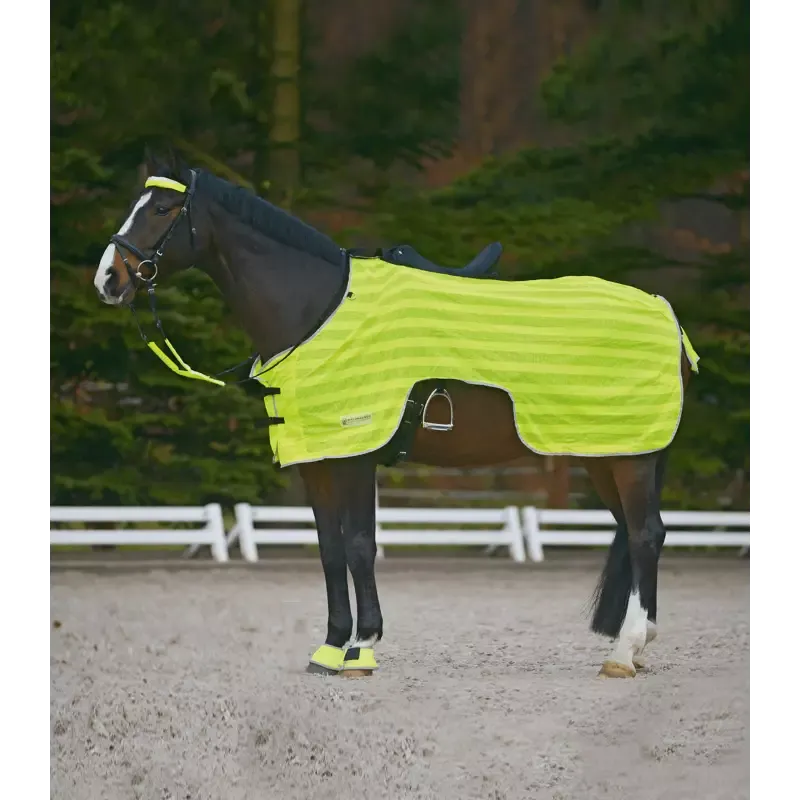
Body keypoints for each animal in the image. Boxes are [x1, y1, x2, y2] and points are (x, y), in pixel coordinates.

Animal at [93, 151, 697, 679]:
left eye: (162, 208)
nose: (108, 279)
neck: (319, 310)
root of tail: (666, 314)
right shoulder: (318, 459)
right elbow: (331, 550)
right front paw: (330, 648)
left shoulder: (357, 455)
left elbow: (361, 546)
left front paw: (362, 649)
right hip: (605, 453)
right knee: (635, 532)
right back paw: (637, 644)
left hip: (630, 457)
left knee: (646, 534)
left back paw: (625, 652)